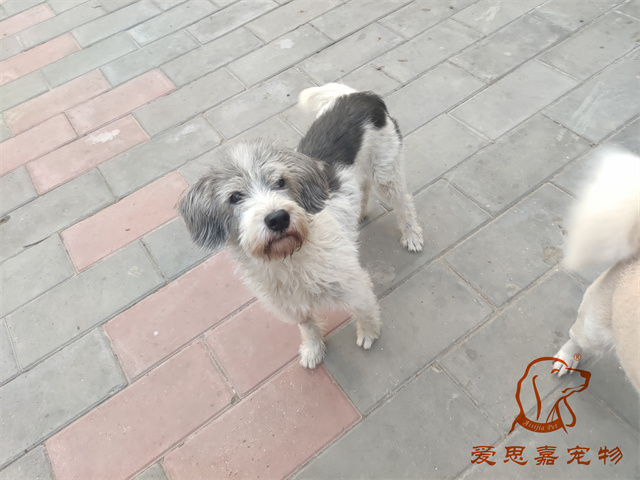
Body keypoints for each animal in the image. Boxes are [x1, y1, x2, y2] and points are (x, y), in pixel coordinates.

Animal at [178, 83, 423, 368]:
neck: (290, 258)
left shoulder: (353, 284)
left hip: (387, 172)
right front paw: (313, 348)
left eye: (281, 182)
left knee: (404, 203)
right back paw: (359, 214)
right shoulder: (290, 304)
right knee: (362, 189)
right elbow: (307, 325)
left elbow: (364, 309)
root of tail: (361, 95)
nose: (278, 218)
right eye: (235, 197)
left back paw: (412, 235)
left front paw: (369, 333)